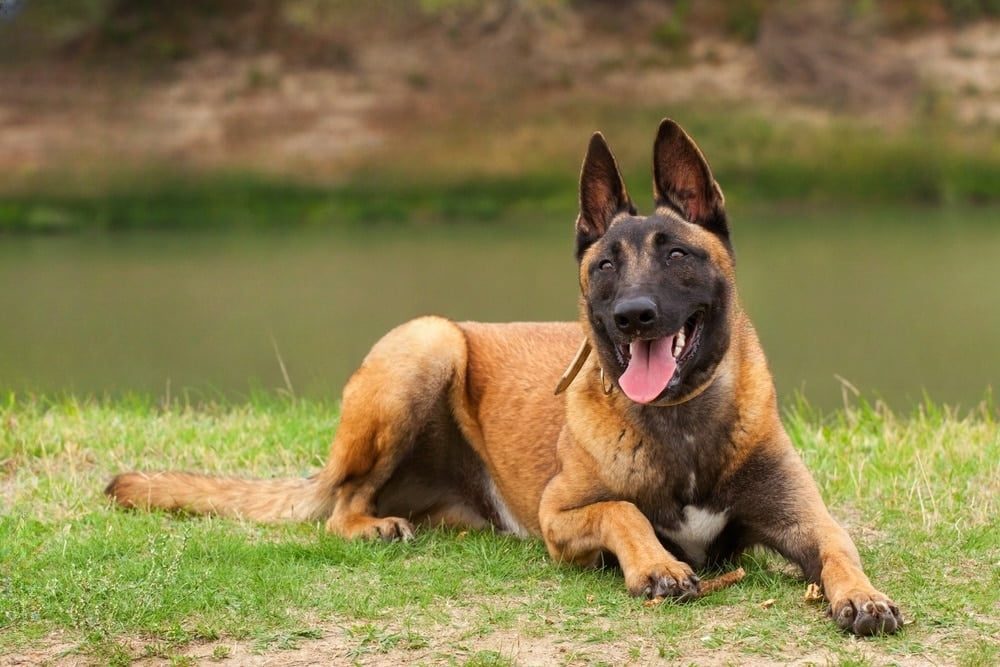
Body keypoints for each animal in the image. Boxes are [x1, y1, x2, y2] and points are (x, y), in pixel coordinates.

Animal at [105, 118, 904, 636]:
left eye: (677, 253)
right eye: (605, 265)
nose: (634, 317)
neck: (681, 427)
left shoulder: (804, 518)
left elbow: (839, 544)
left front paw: (863, 595)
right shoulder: (561, 515)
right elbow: (624, 510)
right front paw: (657, 565)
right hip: (427, 343)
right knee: (341, 505)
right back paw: (372, 525)